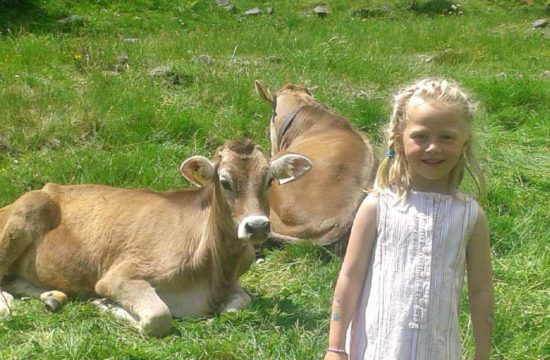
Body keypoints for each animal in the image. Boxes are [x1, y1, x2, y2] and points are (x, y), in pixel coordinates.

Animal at [0, 139, 312, 336]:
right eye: (224, 181)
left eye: (269, 180)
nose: (257, 226)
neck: (216, 269)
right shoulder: (118, 276)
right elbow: (158, 317)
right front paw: (106, 304)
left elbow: (238, 306)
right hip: (26, 212)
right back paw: (7, 305)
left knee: (14, 280)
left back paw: (52, 297)